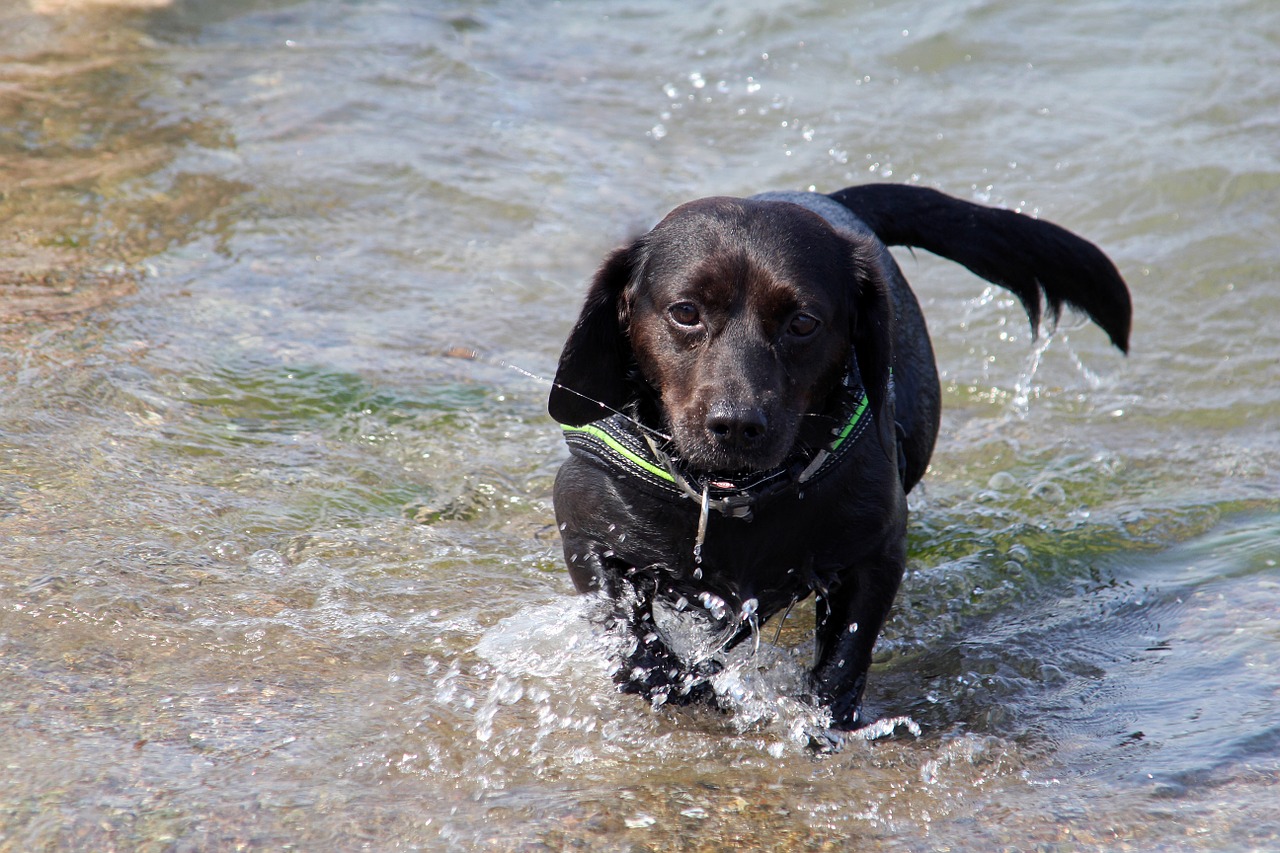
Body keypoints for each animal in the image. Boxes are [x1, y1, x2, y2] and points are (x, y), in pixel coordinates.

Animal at [545, 183, 1126, 732]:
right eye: (686, 312)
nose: (737, 425)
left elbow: (843, 658)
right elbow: (633, 638)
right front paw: (685, 681)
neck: (736, 496)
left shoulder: (877, 554)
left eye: (803, 322)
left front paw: (820, 720)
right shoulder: (585, 532)